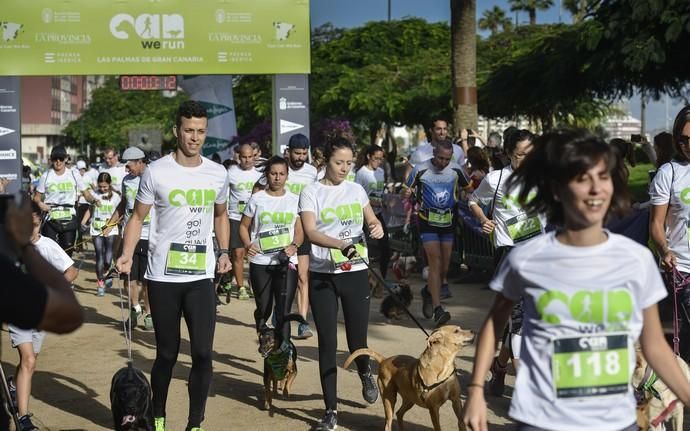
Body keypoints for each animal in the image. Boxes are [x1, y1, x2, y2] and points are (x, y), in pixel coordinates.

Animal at [342, 326, 472, 430]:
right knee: (388, 422)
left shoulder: (456, 400)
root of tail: (384, 360)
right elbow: (438, 428)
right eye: (456, 331)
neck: (444, 367)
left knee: (399, 413)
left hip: (410, 400)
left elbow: (461, 422)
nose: (473, 331)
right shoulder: (433, 408)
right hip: (389, 399)